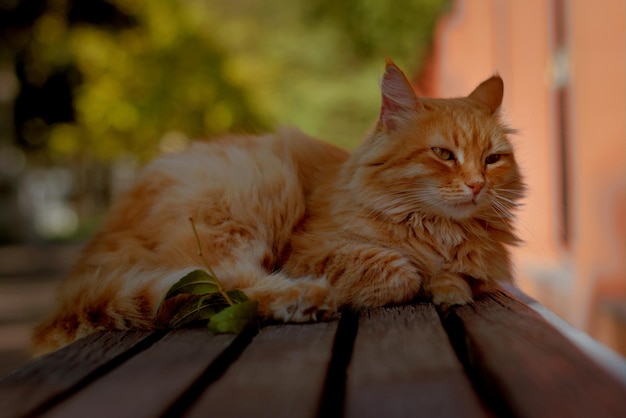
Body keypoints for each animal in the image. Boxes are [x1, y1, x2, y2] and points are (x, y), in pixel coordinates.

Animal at [33, 59, 520, 352]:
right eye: (443, 155)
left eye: (493, 160)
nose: (477, 185)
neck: (439, 231)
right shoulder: (310, 251)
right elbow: (400, 271)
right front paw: (425, 280)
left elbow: (464, 279)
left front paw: (449, 283)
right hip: (255, 191)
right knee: (227, 289)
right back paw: (309, 300)